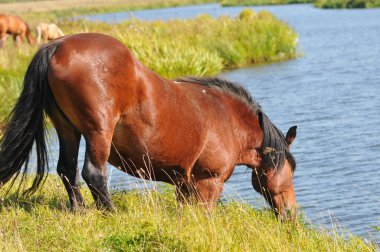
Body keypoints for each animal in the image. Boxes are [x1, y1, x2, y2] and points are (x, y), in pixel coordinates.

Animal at [0, 34, 298, 220]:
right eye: (291, 169)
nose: (291, 213)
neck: (229, 119)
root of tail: (58, 46)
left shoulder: (184, 186)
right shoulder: (209, 183)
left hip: (67, 130)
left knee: (66, 170)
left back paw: (80, 211)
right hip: (99, 131)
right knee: (93, 173)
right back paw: (110, 213)